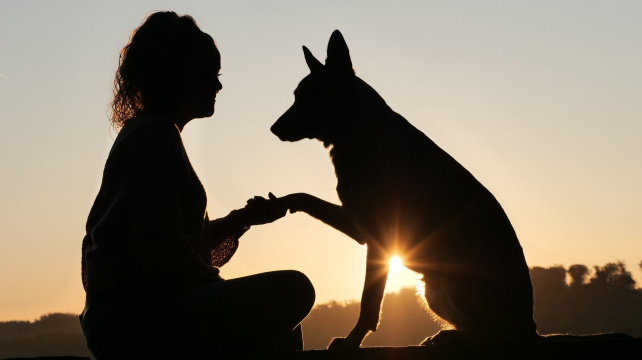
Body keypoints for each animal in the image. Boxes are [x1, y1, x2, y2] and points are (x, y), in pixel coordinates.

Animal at [270, 30, 536, 348]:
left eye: (308, 97)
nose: (273, 129)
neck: (360, 129)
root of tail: (531, 326)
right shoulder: (360, 227)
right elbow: (304, 197)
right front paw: (278, 203)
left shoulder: (378, 240)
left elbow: (369, 302)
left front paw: (353, 340)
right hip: (433, 290)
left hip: (448, 276)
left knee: (496, 335)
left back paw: (449, 338)